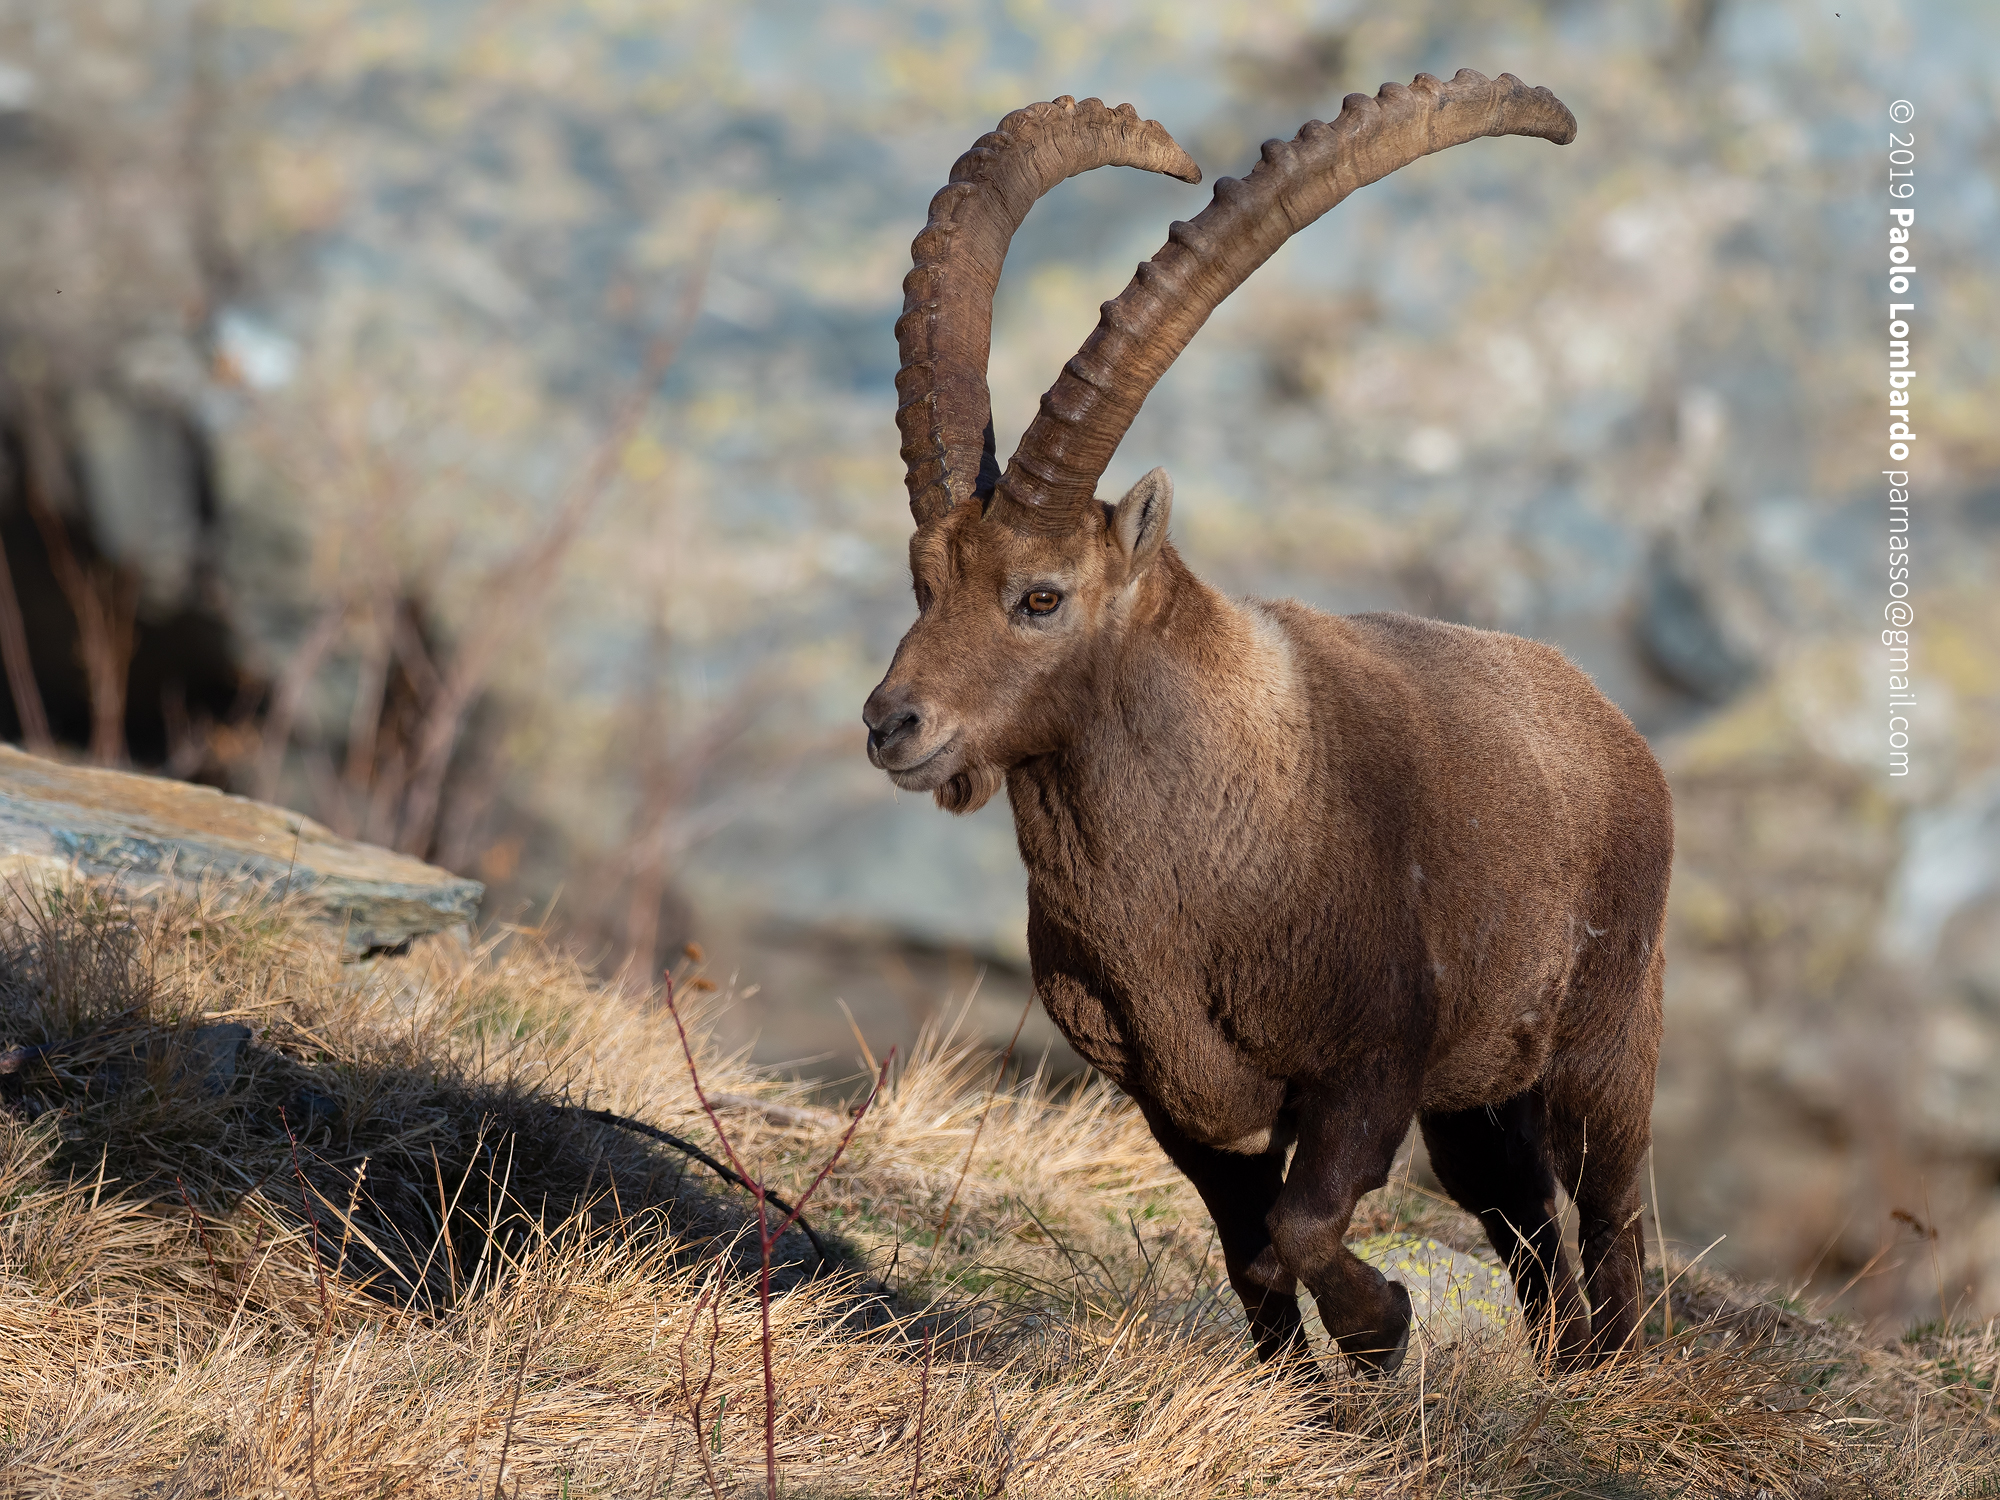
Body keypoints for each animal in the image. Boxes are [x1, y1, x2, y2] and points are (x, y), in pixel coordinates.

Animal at [863, 73, 1670, 1374]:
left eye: (1040, 596)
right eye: (921, 582)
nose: (893, 725)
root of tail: (1605, 717)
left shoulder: (1364, 1070)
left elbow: (1299, 1226)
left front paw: (1381, 1326)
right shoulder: (1176, 1104)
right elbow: (1251, 1257)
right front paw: (1314, 1387)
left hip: (1602, 1034)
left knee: (1607, 1206)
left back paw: (1610, 1373)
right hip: (1476, 1096)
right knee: (1521, 1219)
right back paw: (1556, 1368)